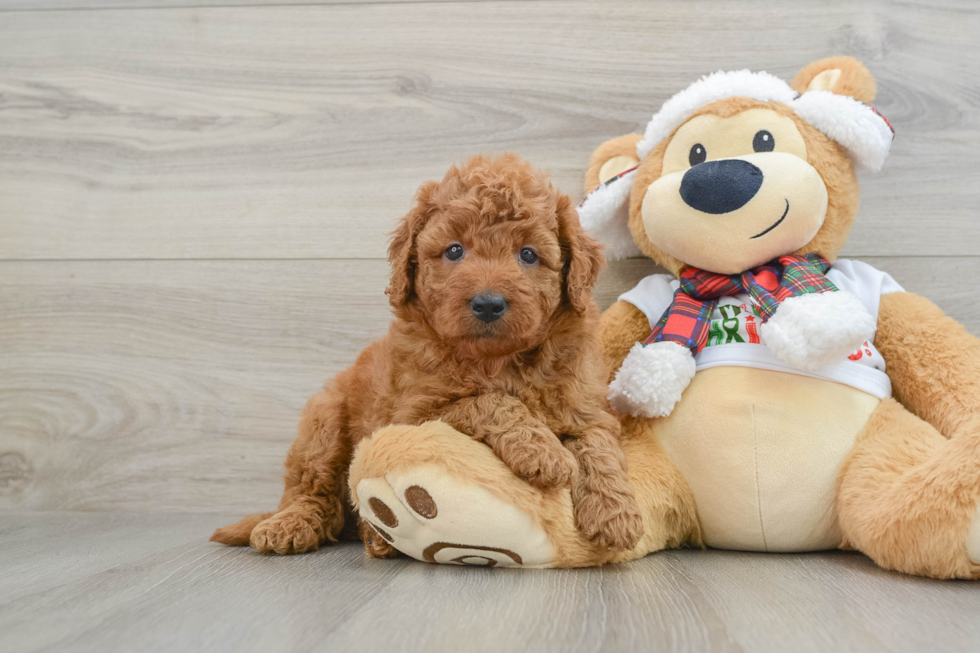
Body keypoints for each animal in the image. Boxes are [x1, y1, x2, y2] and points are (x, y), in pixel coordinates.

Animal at [211, 153, 648, 556]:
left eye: (527, 254)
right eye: (454, 251)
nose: (488, 303)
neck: (498, 360)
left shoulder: (585, 404)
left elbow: (598, 445)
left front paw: (617, 515)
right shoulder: (415, 414)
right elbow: (486, 401)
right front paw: (544, 452)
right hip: (323, 419)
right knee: (313, 492)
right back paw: (297, 525)